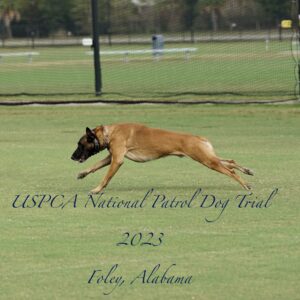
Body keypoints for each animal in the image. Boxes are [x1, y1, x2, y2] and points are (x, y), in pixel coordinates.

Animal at [71, 123, 253, 193]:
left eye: (80, 144)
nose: (72, 157)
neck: (110, 132)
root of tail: (198, 137)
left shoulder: (117, 160)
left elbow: (106, 177)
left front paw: (97, 189)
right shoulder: (112, 157)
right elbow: (95, 166)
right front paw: (82, 173)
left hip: (206, 160)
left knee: (230, 171)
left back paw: (245, 184)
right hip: (208, 158)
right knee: (230, 162)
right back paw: (247, 171)